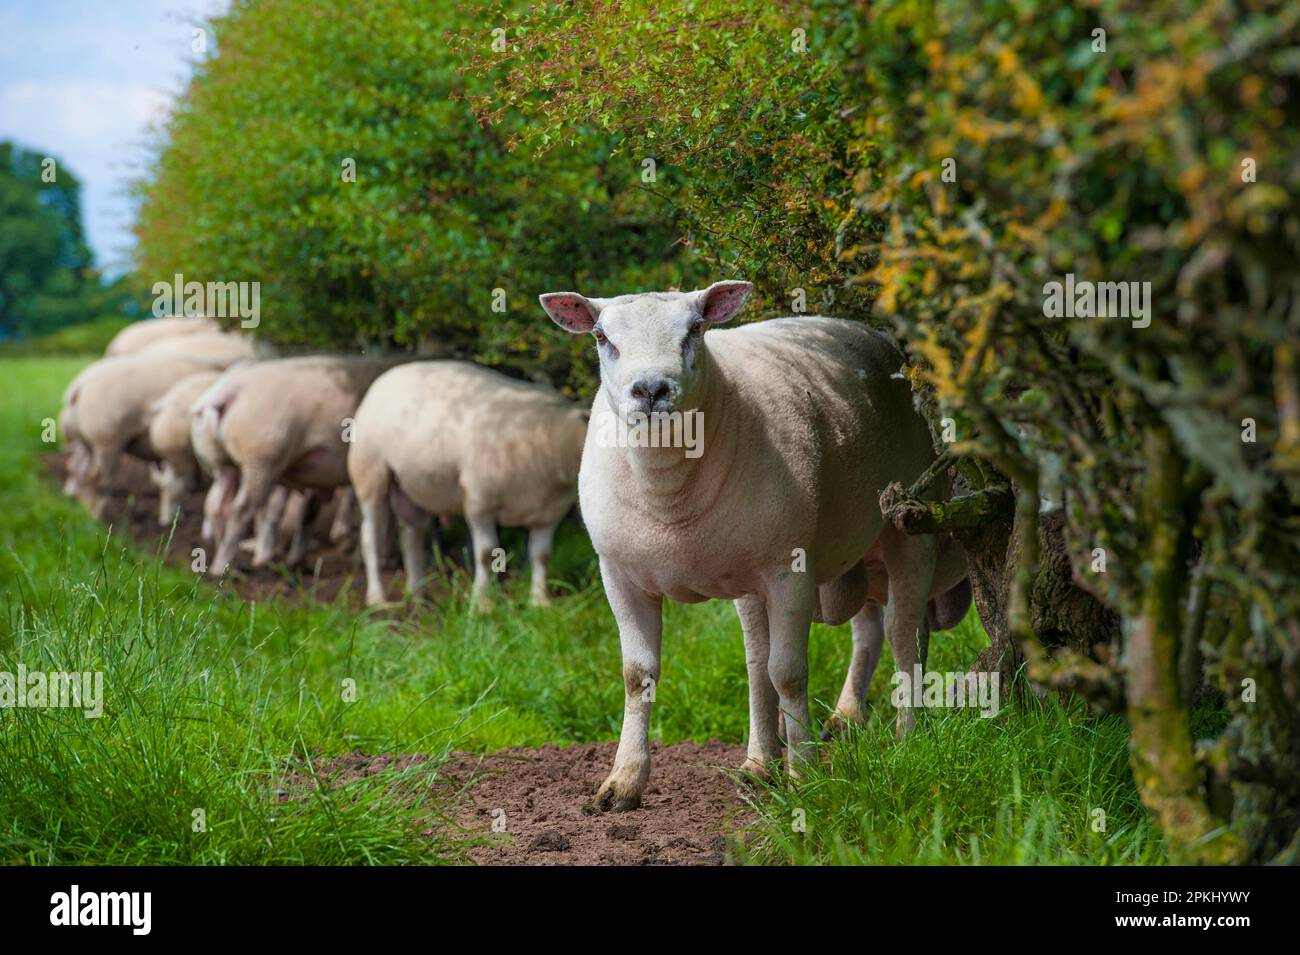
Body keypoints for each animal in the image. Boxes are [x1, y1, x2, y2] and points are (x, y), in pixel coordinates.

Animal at [200, 355, 398, 576]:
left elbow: (308, 513)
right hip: (261, 458)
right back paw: (225, 568)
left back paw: (227, 565)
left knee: (217, 506)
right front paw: (383, 559)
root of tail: (231, 391)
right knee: (240, 511)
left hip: (224, 463)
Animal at [346, 361, 588, 608]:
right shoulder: (479, 502)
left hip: (411, 484)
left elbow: (542, 555)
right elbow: (486, 553)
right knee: (370, 537)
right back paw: (377, 598)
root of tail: (389, 375)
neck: (550, 439)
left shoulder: (549, 513)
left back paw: (418, 595)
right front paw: (482, 602)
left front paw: (540, 601)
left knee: (411, 534)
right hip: (369, 473)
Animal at [538, 280, 971, 811]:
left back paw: (907, 736)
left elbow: (789, 673)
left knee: (903, 634)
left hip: (911, 524)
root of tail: (869, 331)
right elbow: (638, 675)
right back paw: (772, 757)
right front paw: (623, 782)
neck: (669, 496)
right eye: (602, 337)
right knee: (793, 651)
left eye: (695, 329)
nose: (651, 390)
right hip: (779, 567)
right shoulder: (619, 575)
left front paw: (806, 777)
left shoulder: (790, 569)